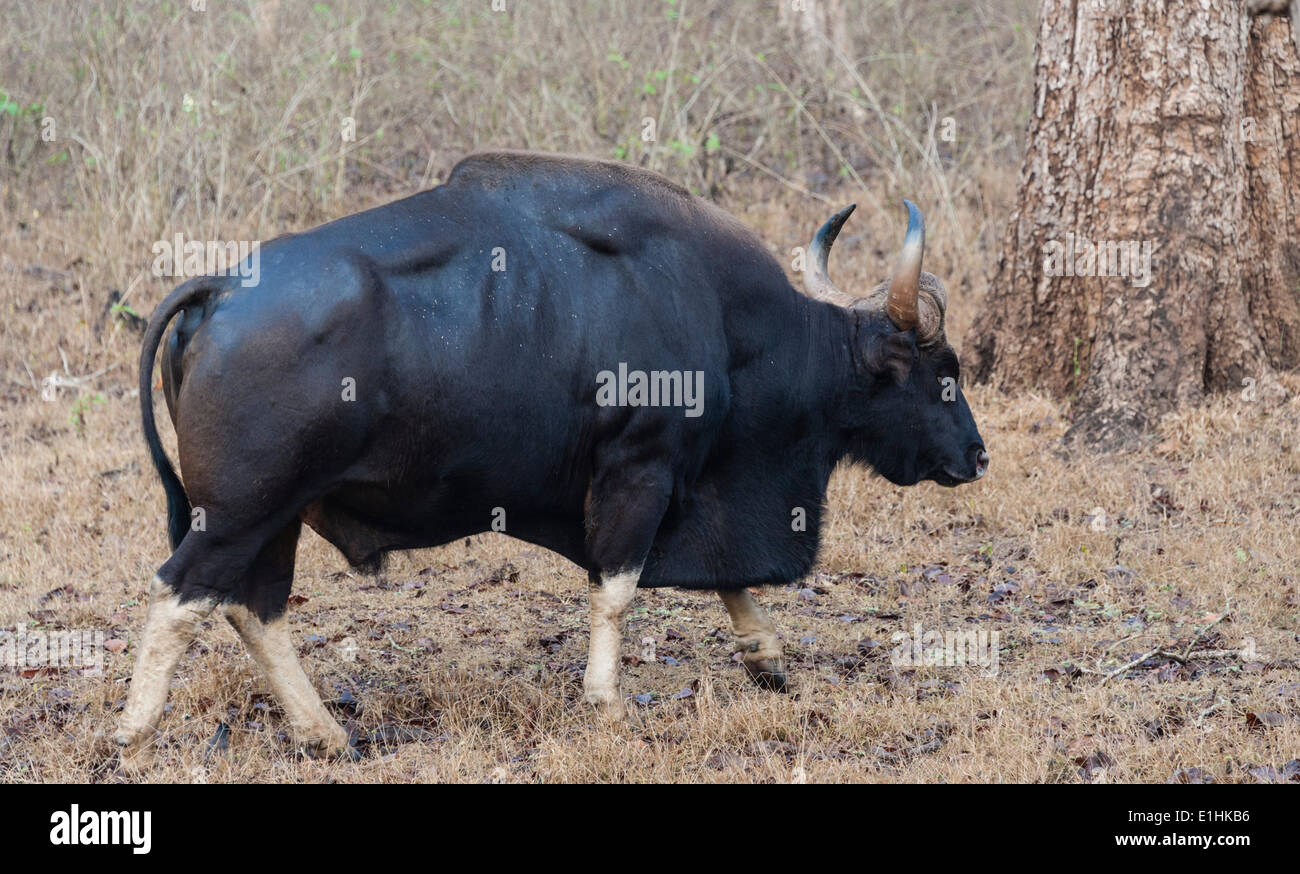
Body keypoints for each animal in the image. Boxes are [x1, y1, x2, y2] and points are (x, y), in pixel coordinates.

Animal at [114, 152, 982, 759]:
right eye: (943, 372)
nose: (976, 456)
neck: (722, 319)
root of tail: (223, 291)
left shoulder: (690, 485)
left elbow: (725, 574)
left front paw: (766, 657)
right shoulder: (641, 470)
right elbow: (619, 589)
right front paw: (605, 700)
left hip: (278, 515)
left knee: (252, 606)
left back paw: (323, 732)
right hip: (241, 511)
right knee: (180, 592)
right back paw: (134, 733)